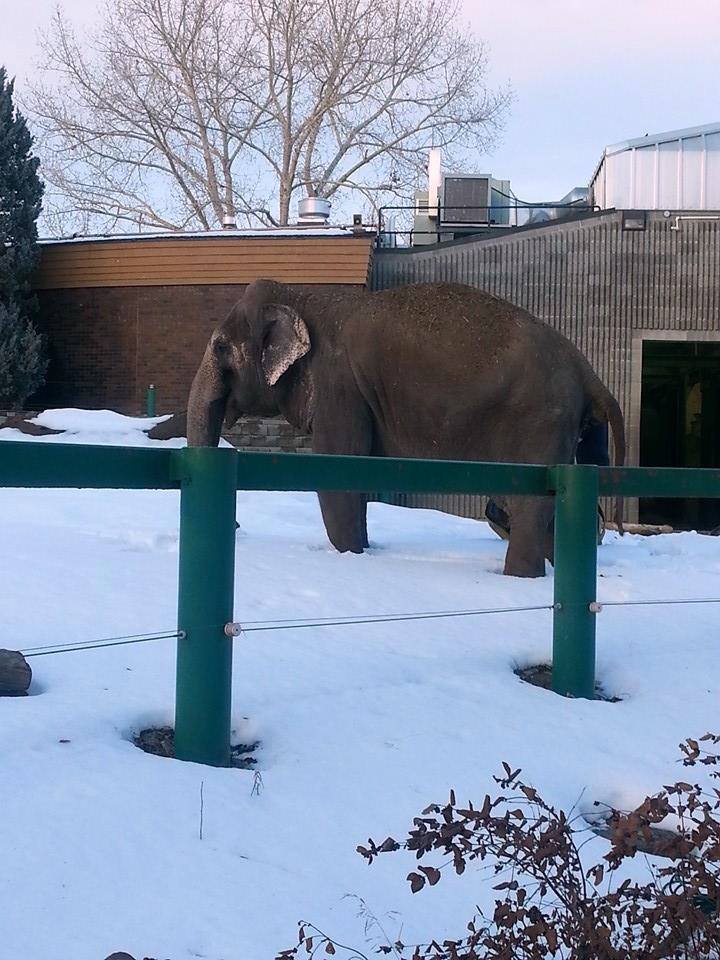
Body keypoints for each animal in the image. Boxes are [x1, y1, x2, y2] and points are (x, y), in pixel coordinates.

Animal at [187, 279, 625, 577]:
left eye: (220, 347)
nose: (237, 525)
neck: (302, 296)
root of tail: (588, 372)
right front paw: (363, 550)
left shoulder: (339, 388)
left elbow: (339, 471)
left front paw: (351, 557)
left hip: (537, 421)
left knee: (529, 506)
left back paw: (519, 577)